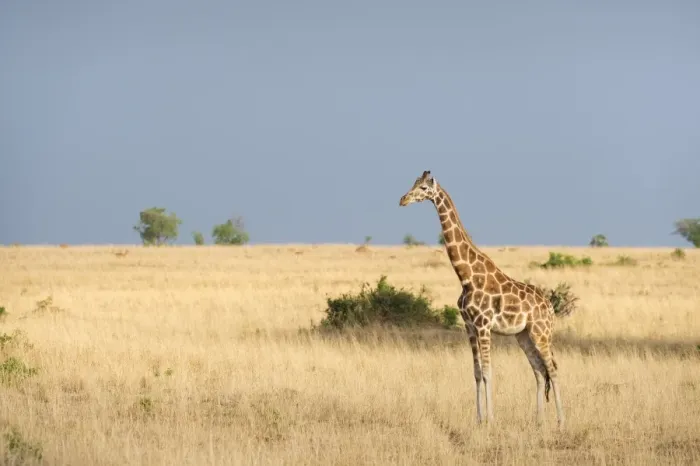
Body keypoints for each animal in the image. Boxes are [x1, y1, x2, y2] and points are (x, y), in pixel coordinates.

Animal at [399, 170, 565, 427]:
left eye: (424, 188)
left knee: (553, 369)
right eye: (414, 183)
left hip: (541, 332)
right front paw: (479, 419)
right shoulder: (469, 326)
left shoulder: (484, 326)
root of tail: (550, 307)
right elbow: (477, 373)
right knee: (538, 370)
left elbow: (488, 371)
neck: (466, 276)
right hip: (523, 335)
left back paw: (561, 422)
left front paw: (491, 420)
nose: (403, 200)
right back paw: (539, 421)